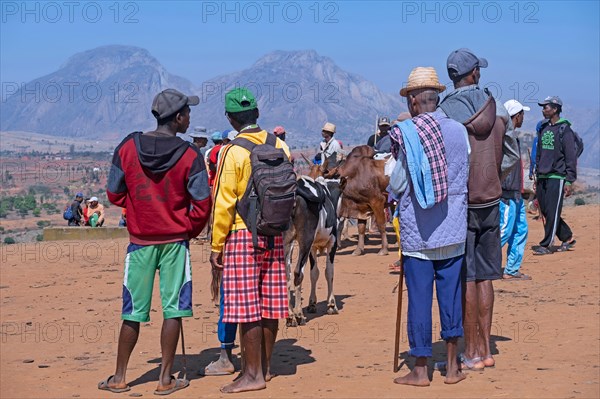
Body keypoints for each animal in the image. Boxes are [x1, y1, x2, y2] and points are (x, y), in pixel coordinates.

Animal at [282, 177, 340, 326]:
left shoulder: (313, 247)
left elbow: (314, 273)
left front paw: (312, 304)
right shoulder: (332, 242)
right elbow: (329, 272)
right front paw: (331, 305)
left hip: (286, 242)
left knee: (286, 274)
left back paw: (290, 315)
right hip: (305, 240)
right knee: (298, 273)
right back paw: (298, 315)